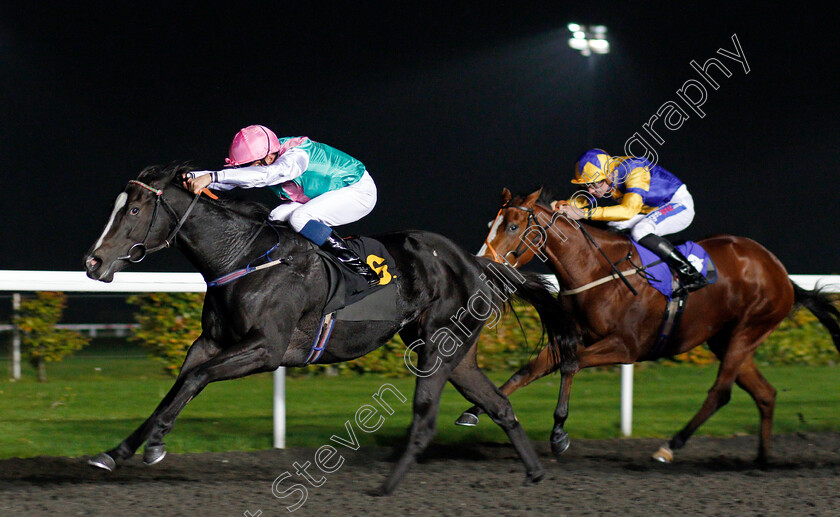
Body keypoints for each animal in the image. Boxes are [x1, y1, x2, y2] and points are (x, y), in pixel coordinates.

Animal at [82, 163, 576, 494]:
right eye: (117, 207)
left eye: (135, 210)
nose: (93, 263)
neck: (243, 256)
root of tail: (476, 264)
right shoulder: (210, 343)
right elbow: (178, 386)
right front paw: (115, 453)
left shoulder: (267, 348)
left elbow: (195, 380)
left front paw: (155, 446)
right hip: (456, 352)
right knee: (498, 406)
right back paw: (534, 471)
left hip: (437, 346)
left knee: (426, 417)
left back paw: (386, 487)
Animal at [460, 185, 840, 464]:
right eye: (491, 225)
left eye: (512, 226)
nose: (482, 265)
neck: (595, 270)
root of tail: (780, 272)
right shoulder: (575, 336)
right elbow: (526, 371)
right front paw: (475, 410)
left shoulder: (625, 346)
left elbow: (570, 365)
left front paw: (559, 434)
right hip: (726, 338)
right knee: (765, 394)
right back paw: (763, 459)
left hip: (748, 331)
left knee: (720, 392)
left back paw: (669, 446)